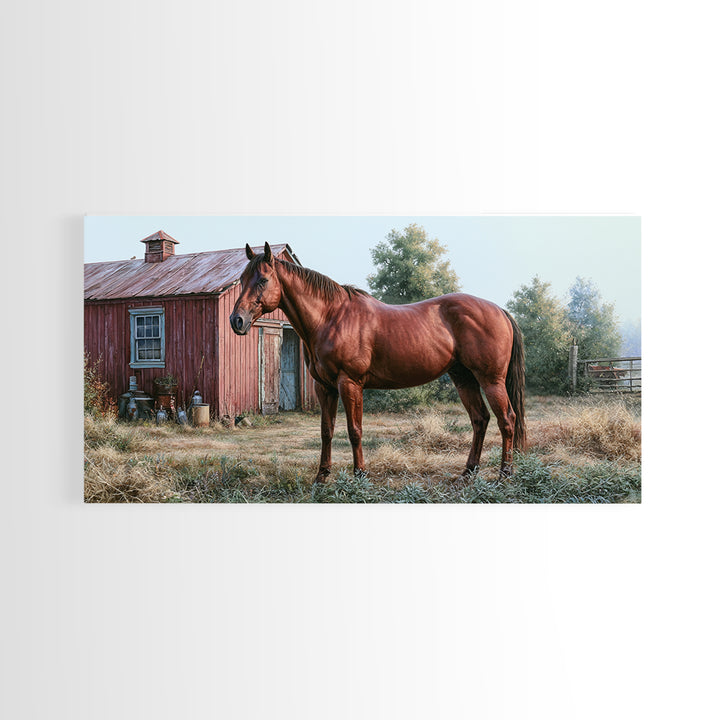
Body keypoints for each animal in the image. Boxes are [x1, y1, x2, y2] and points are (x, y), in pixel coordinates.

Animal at [230, 242, 526, 483]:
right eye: (242, 279)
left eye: (263, 280)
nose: (237, 321)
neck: (331, 317)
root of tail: (499, 310)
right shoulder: (324, 387)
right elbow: (327, 431)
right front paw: (321, 477)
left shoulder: (350, 383)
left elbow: (354, 430)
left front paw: (360, 474)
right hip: (464, 378)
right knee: (480, 419)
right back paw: (467, 473)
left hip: (491, 380)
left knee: (507, 420)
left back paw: (504, 474)